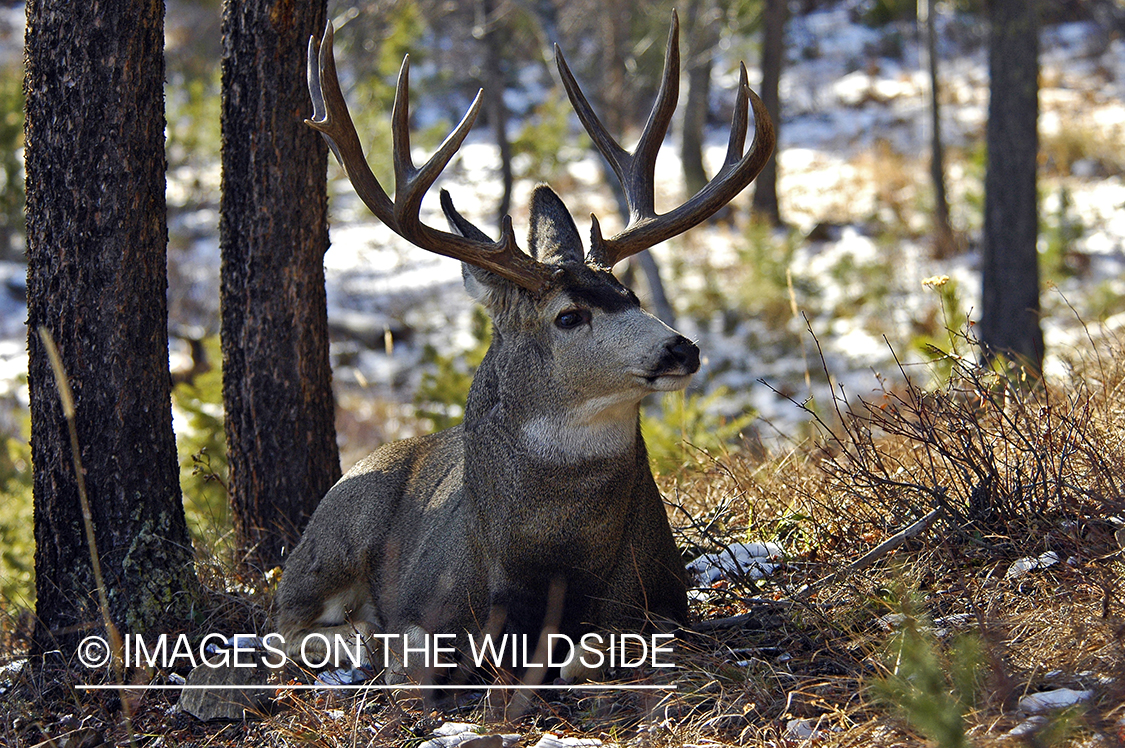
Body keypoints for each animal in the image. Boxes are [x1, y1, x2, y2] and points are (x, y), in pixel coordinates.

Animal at [275, 12, 774, 685]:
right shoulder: (433, 610)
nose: (681, 350)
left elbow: (603, 648)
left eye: (630, 292)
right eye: (569, 316)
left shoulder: (663, 599)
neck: (551, 560)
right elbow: (423, 647)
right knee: (280, 622)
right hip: (331, 536)